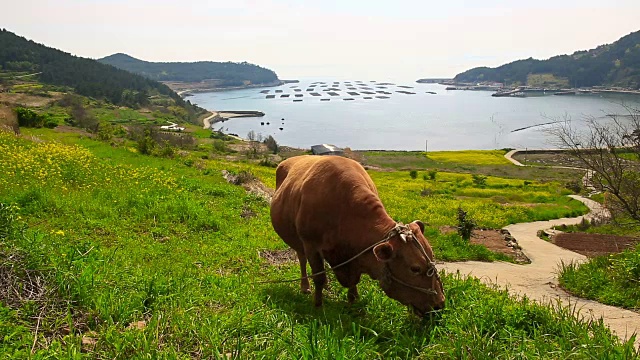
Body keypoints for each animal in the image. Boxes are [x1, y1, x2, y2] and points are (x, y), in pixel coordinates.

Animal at [270, 155, 444, 316]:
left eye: (433, 257)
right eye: (415, 268)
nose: (440, 304)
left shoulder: (354, 257)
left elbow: (353, 281)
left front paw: (353, 300)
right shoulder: (311, 245)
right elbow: (318, 277)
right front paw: (318, 306)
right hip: (298, 242)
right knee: (302, 260)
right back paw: (305, 287)